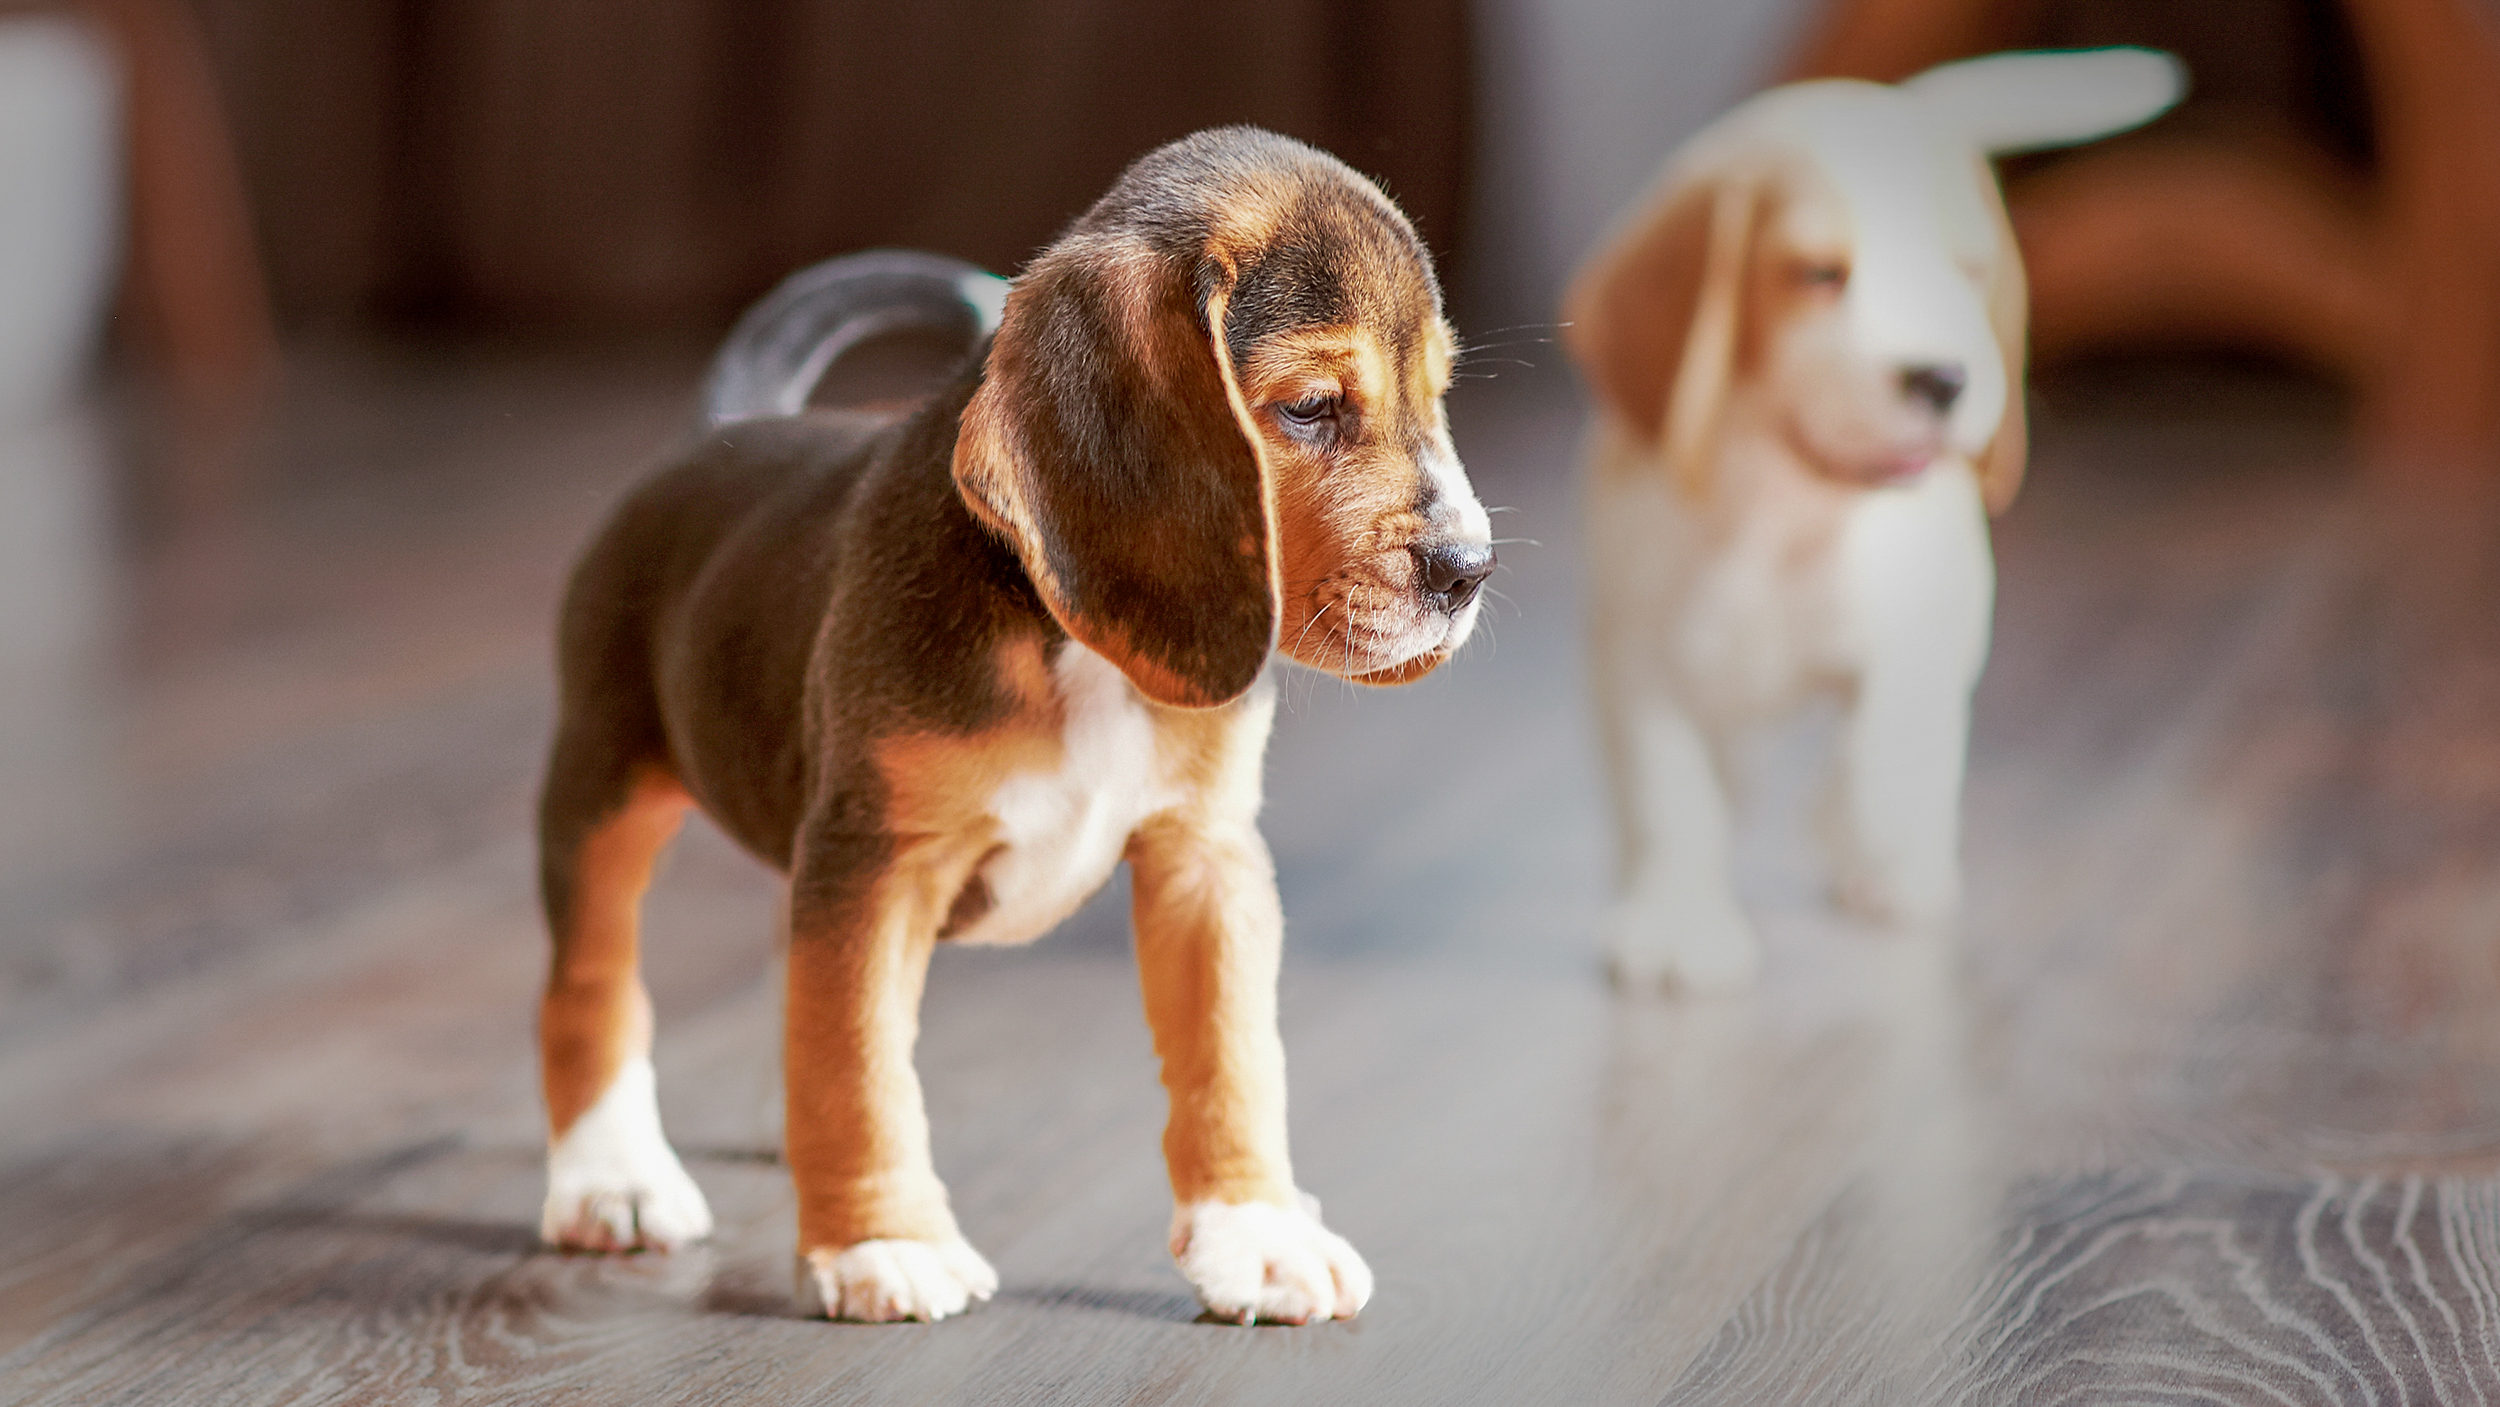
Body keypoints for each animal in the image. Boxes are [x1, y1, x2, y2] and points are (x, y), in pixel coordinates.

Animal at [537, 126, 1490, 1329]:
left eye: (1438, 395)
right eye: (1312, 406)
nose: (1469, 570)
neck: (1078, 651)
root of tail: (723, 431)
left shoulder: (1206, 860)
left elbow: (1234, 1060)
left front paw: (1258, 1230)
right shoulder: (878, 861)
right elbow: (856, 1060)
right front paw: (883, 1240)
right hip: (603, 785)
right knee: (592, 985)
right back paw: (609, 1175)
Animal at [1570, 46, 2180, 989]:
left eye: (1970, 271)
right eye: (1819, 273)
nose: (1945, 378)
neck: (1779, 512)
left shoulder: (1926, 610)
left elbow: (1889, 730)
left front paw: (1877, 832)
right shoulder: (1640, 653)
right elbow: (1670, 791)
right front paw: (1676, 914)